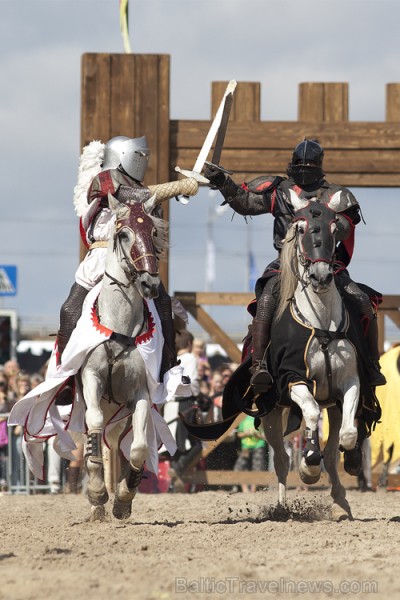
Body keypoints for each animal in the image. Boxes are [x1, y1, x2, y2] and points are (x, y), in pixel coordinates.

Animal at [81, 192, 169, 520]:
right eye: (123, 234)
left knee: (113, 443)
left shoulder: (139, 393)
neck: (119, 327)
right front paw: (97, 492)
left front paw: (122, 497)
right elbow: (92, 424)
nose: (150, 283)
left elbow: (140, 447)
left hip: (118, 417)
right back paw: (96, 504)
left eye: (153, 232)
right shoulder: (91, 380)